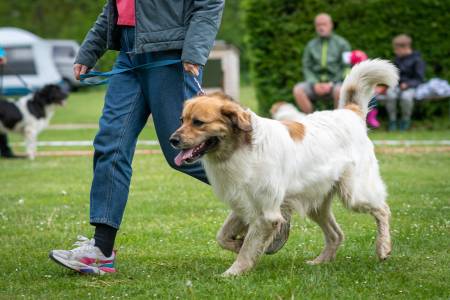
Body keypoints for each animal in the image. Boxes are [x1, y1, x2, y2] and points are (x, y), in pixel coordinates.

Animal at [169, 59, 398, 276]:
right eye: (182, 120)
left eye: (198, 122)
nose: (172, 140)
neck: (241, 149)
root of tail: (349, 113)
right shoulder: (243, 204)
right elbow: (223, 237)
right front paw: (241, 245)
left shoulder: (266, 213)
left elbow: (248, 248)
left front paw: (233, 272)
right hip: (315, 203)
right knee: (336, 234)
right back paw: (320, 261)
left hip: (355, 195)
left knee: (382, 209)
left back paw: (383, 248)